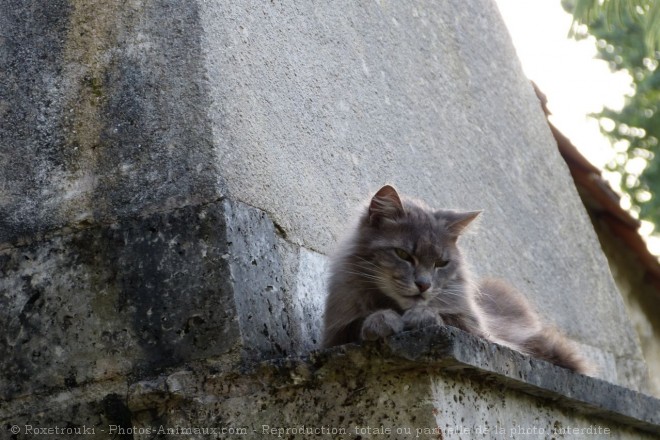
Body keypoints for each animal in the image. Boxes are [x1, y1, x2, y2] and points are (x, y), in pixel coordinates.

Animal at [322, 185, 596, 374]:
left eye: (441, 263)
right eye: (403, 255)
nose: (423, 285)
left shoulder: (480, 333)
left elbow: (447, 319)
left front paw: (420, 316)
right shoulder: (336, 331)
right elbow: (358, 322)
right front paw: (383, 320)